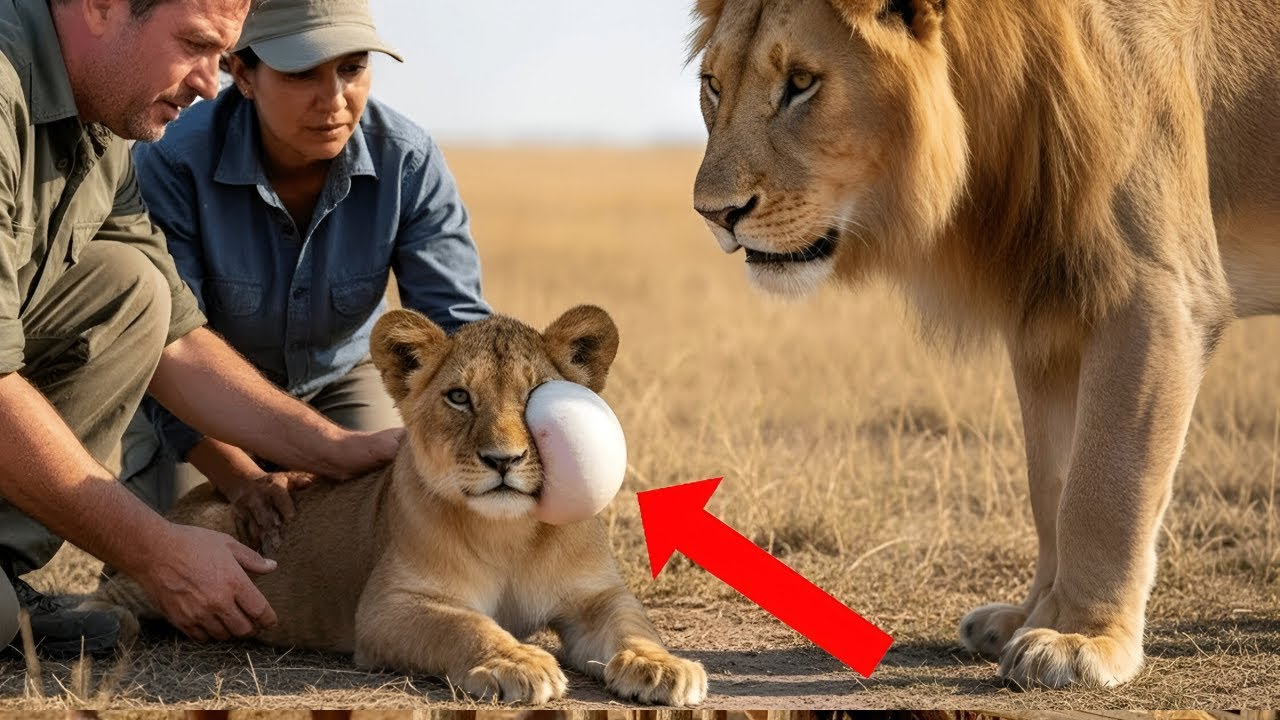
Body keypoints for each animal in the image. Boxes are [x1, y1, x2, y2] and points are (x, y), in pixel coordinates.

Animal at [87, 306, 708, 706]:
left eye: (536, 396)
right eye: (459, 397)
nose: (502, 460)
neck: (510, 533)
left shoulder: (596, 596)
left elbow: (634, 625)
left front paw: (666, 668)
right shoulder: (388, 608)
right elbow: (465, 626)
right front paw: (516, 662)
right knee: (129, 580)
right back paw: (104, 623)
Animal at [690, 0, 1280, 689]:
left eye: (802, 82)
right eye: (714, 85)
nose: (713, 214)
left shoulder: (1157, 292)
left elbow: (1106, 487)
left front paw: (1082, 639)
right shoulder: (1051, 318)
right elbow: (1052, 485)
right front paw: (1031, 615)